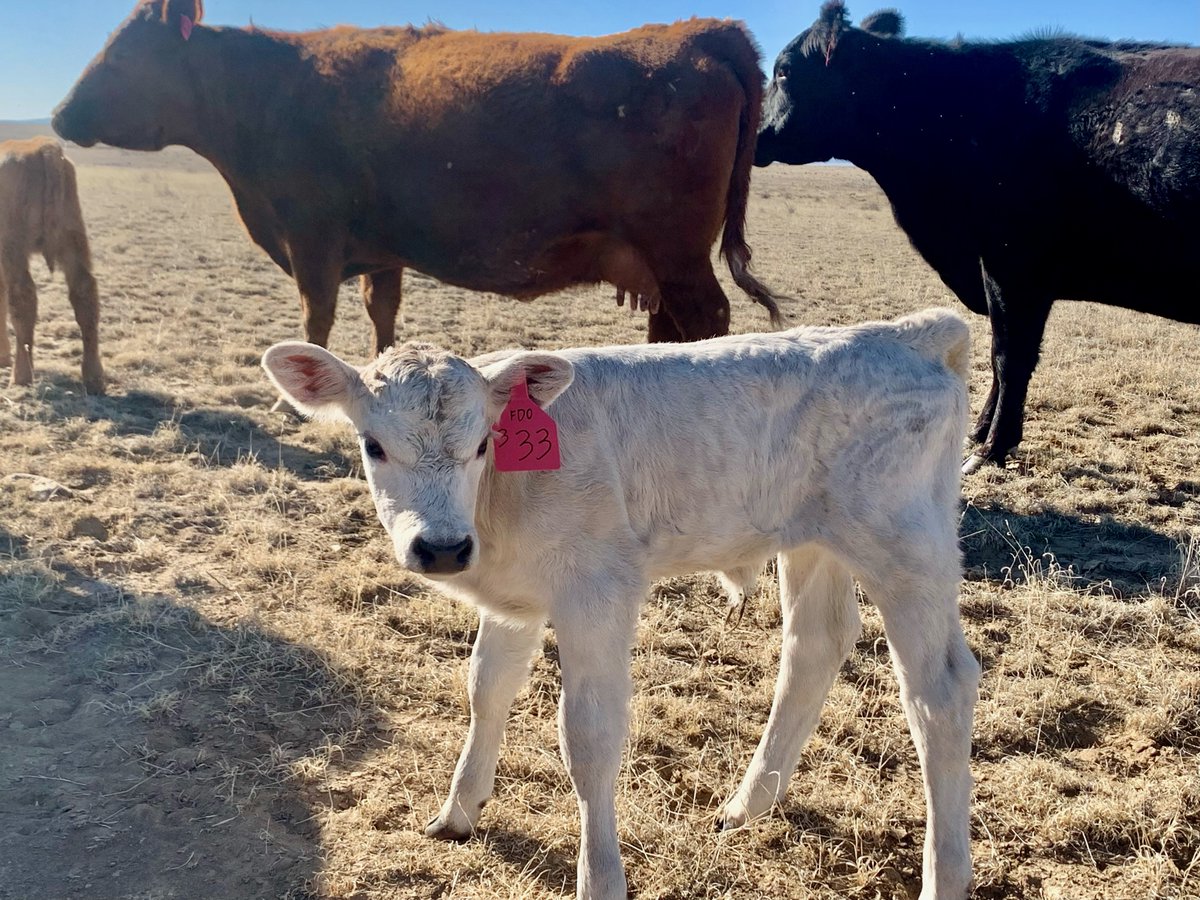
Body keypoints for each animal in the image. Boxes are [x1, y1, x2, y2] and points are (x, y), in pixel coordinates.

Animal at [0, 137, 103, 393]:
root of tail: (42, 146)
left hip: (12, 246)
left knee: (22, 296)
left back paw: (21, 376)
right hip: (73, 239)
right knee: (84, 293)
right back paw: (94, 378)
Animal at [52, 0, 782, 362]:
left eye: (122, 56)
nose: (58, 116)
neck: (270, 88)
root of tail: (700, 32)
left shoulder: (312, 237)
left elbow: (315, 316)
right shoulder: (381, 250)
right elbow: (382, 312)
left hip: (678, 254)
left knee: (708, 319)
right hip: (662, 262)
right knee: (671, 324)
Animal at [262, 308, 980, 900]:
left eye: (483, 443)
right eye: (373, 445)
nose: (441, 548)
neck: (502, 501)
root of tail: (908, 333)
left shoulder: (596, 592)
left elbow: (588, 736)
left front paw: (600, 879)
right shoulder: (515, 600)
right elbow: (486, 690)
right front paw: (458, 812)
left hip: (906, 543)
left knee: (940, 689)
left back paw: (943, 878)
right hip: (813, 541)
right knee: (815, 645)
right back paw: (746, 807)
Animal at [754, 1, 1200, 472]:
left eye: (783, 71)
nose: (753, 132)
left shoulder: (1013, 264)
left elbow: (1011, 357)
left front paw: (993, 447)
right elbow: (997, 353)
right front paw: (981, 431)